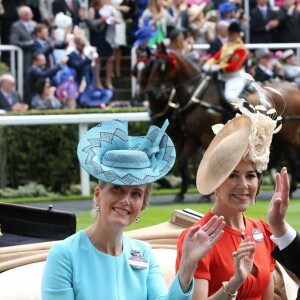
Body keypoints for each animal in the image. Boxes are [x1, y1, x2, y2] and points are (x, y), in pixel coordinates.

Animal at [141, 42, 300, 200]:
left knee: (292, 157)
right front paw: (182, 192)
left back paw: (290, 188)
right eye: (151, 66)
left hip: (287, 134)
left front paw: (207, 192)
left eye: (161, 66)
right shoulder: (192, 138)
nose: (150, 92)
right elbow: (182, 161)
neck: (198, 94)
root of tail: (293, 88)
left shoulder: (205, 136)